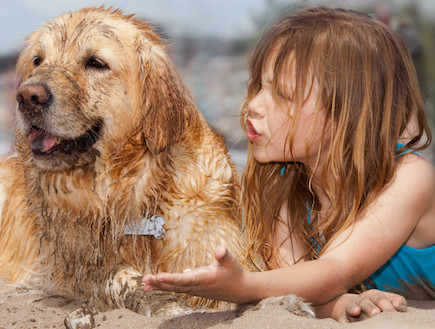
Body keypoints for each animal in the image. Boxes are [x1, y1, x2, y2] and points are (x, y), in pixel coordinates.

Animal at [0, 6, 314, 316]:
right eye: (38, 60)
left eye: (96, 63)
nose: (27, 96)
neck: (129, 187)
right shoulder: (68, 270)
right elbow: (118, 278)